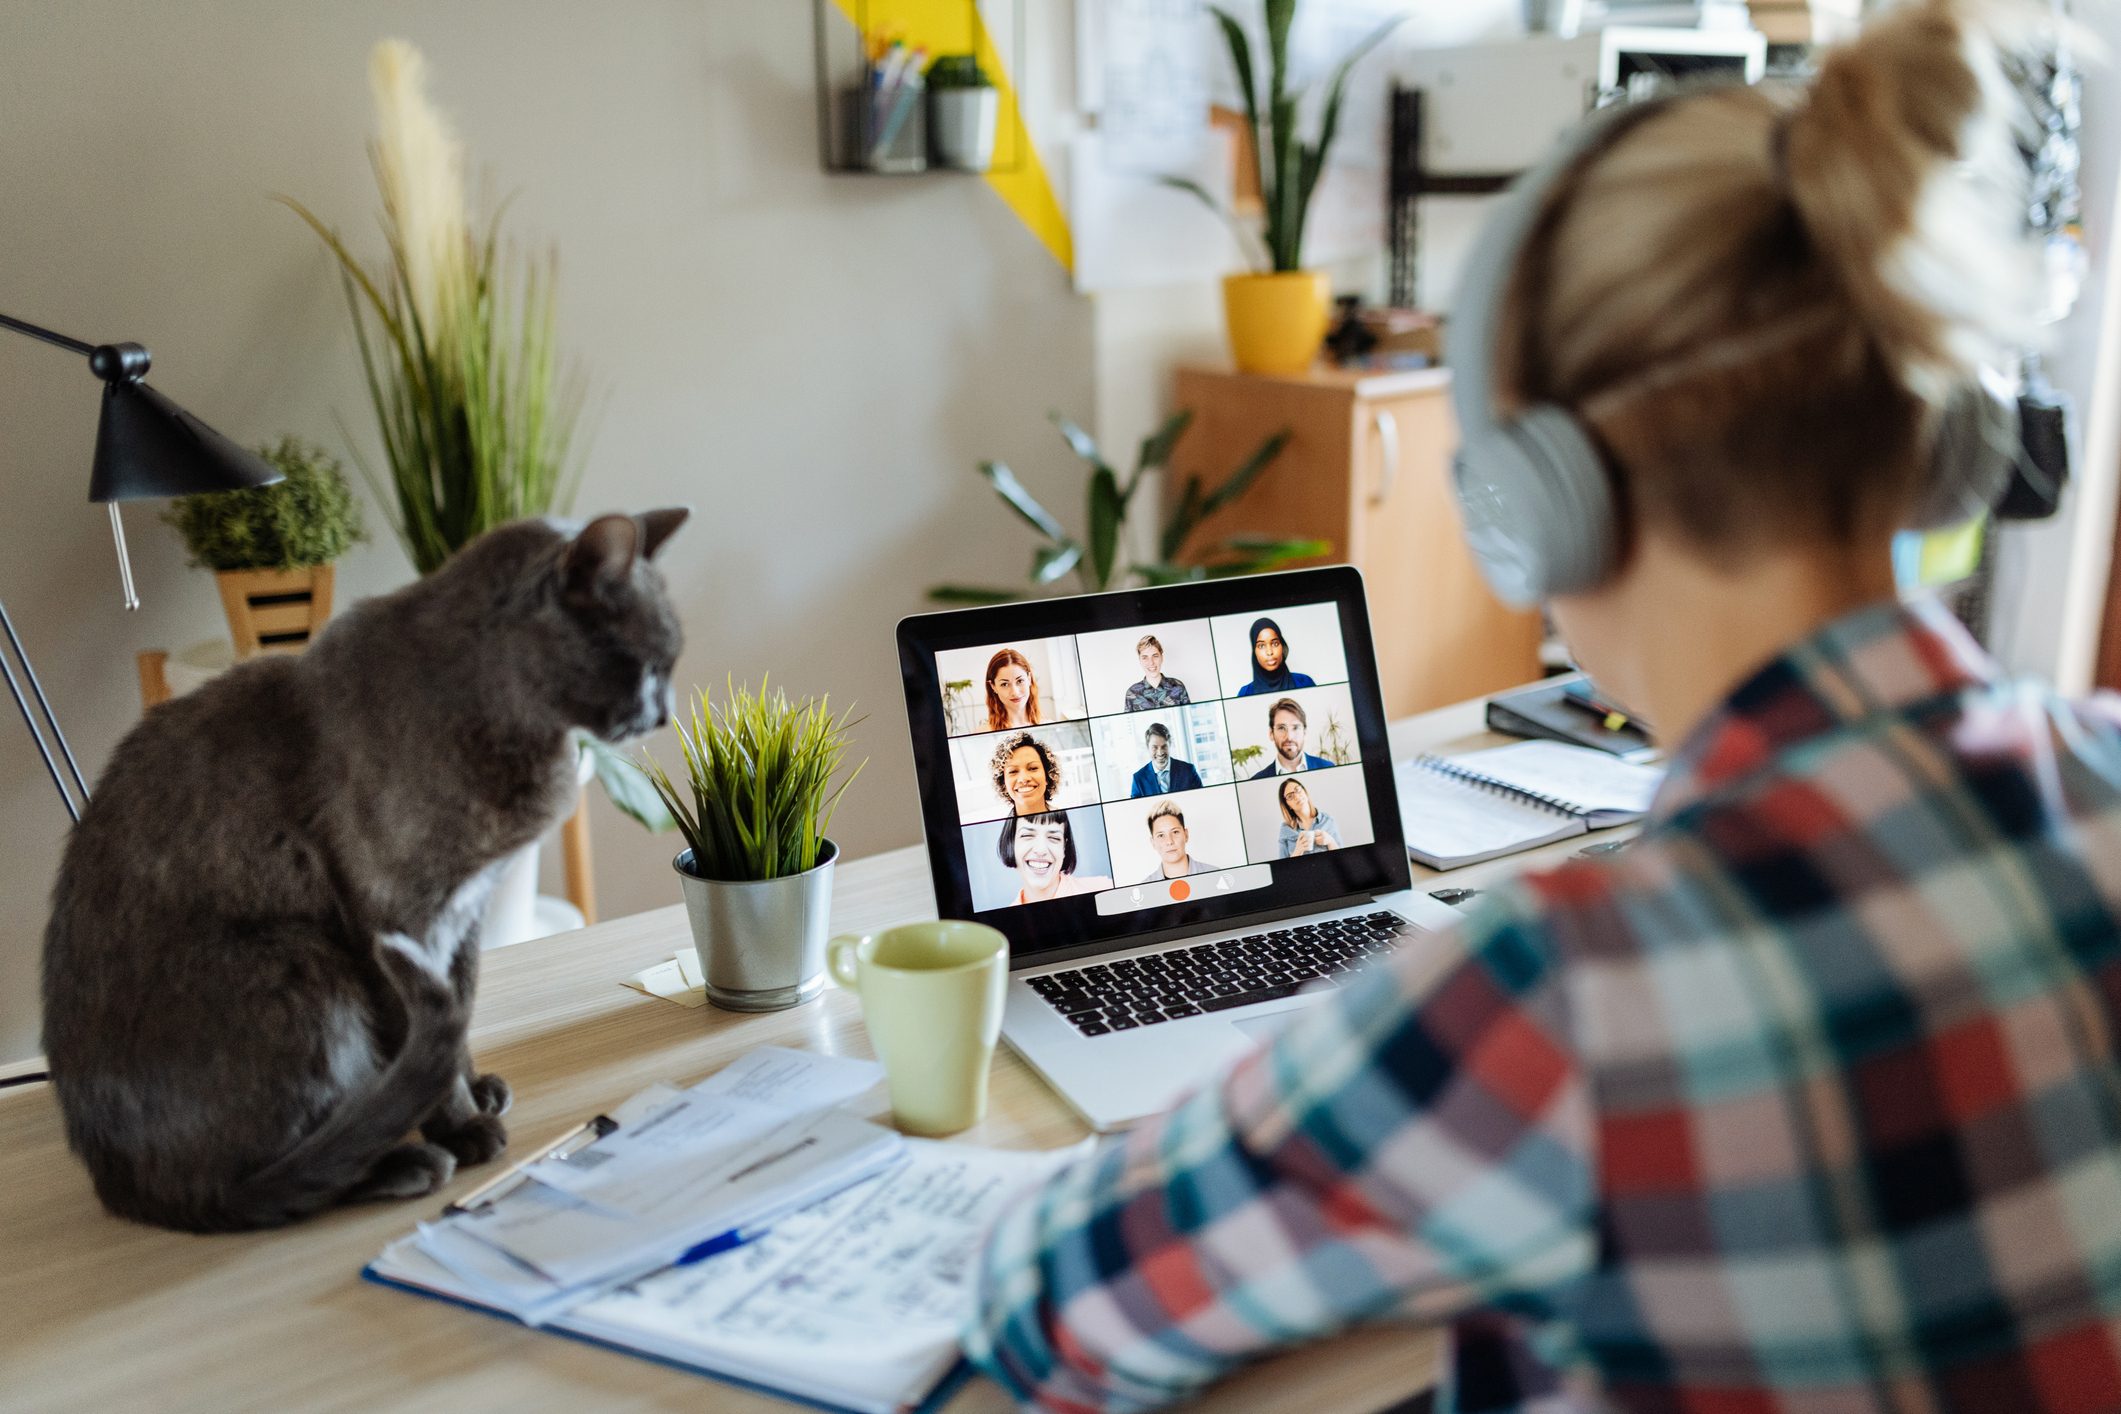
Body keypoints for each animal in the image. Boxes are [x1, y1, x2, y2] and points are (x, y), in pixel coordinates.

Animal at [39, 508, 687, 1229]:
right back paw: (404, 1160)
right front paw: (462, 1126)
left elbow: (458, 1014)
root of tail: (119, 1187)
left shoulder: (461, 920)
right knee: (262, 1182)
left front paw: (474, 1087)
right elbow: (425, 1027)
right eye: (647, 664)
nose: (664, 714)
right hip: (303, 960)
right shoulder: (394, 916)